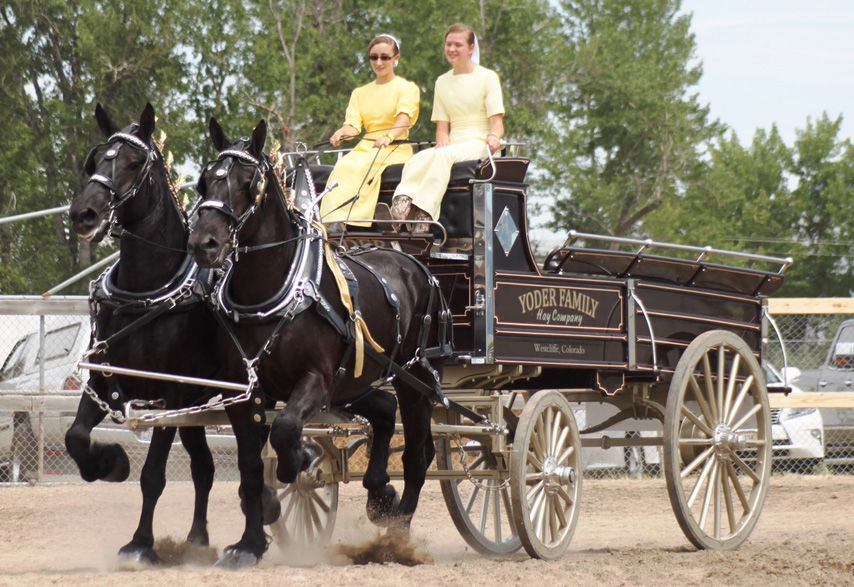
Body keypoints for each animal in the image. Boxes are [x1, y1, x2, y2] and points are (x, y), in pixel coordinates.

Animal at [66, 103, 222, 564]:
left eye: (134, 163)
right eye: (95, 160)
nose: (83, 214)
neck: (144, 293)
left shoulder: (169, 395)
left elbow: (153, 474)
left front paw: (140, 544)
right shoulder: (104, 380)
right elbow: (75, 437)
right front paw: (111, 463)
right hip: (197, 407)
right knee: (204, 468)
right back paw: (196, 539)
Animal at [187, 117, 452, 567]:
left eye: (248, 182)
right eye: (206, 180)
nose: (204, 243)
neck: (273, 292)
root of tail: (417, 263)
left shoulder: (313, 380)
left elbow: (286, 431)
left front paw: (300, 462)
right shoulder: (246, 393)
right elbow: (250, 468)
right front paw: (249, 543)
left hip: (413, 377)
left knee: (418, 454)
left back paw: (397, 537)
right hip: (354, 379)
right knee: (384, 413)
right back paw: (379, 493)